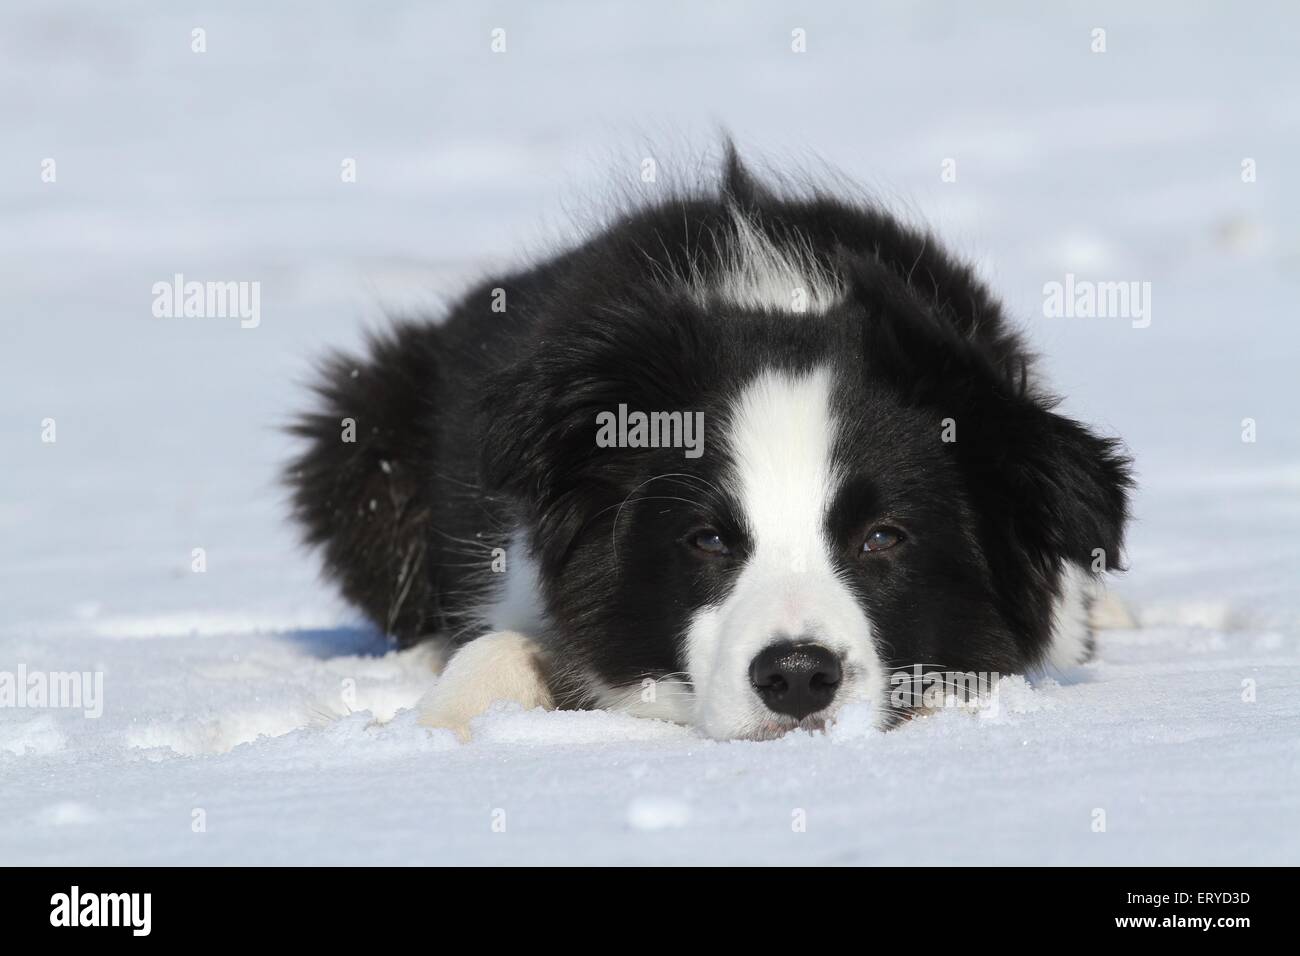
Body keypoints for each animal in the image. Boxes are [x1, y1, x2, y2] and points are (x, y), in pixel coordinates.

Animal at [284, 153, 1128, 743]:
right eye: (708, 539)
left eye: (883, 537)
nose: (797, 677)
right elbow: (504, 646)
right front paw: (444, 727)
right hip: (357, 433)